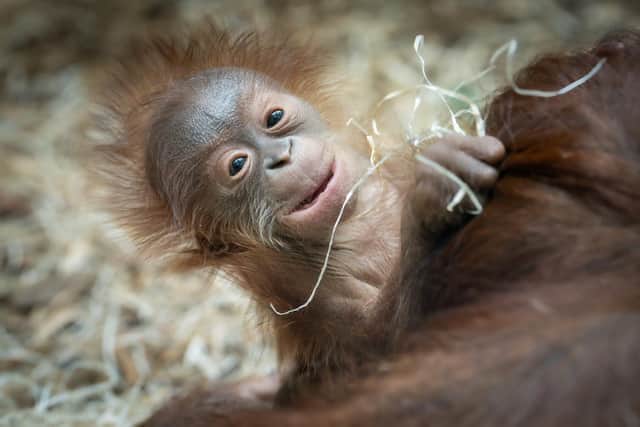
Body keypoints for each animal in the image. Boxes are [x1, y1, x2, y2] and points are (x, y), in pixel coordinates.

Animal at [135, 30, 640, 427]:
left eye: (273, 119)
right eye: (238, 165)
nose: (281, 157)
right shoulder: (307, 294)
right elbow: (385, 347)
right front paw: (433, 191)